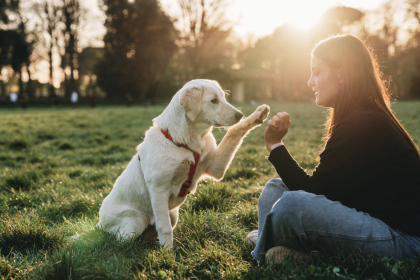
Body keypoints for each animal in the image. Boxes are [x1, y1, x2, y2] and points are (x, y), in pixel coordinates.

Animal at [98, 79, 270, 249]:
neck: (186, 142)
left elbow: (233, 131)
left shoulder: (215, 168)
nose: (240, 115)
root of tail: (98, 223)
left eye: (223, 97)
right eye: (214, 100)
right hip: (135, 221)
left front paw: (256, 116)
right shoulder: (158, 188)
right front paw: (167, 254)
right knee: (119, 241)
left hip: (172, 214)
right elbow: (165, 228)